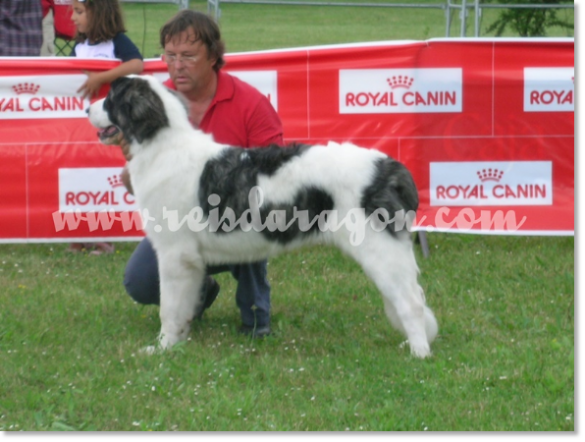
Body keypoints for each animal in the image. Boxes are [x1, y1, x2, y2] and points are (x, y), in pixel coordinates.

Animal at [88, 76, 438, 358]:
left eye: (110, 98)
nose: (87, 109)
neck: (163, 145)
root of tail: (391, 166)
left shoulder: (175, 255)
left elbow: (169, 308)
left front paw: (162, 348)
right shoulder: (189, 261)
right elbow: (183, 304)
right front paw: (178, 342)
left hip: (380, 250)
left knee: (411, 301)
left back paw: (419, 354)